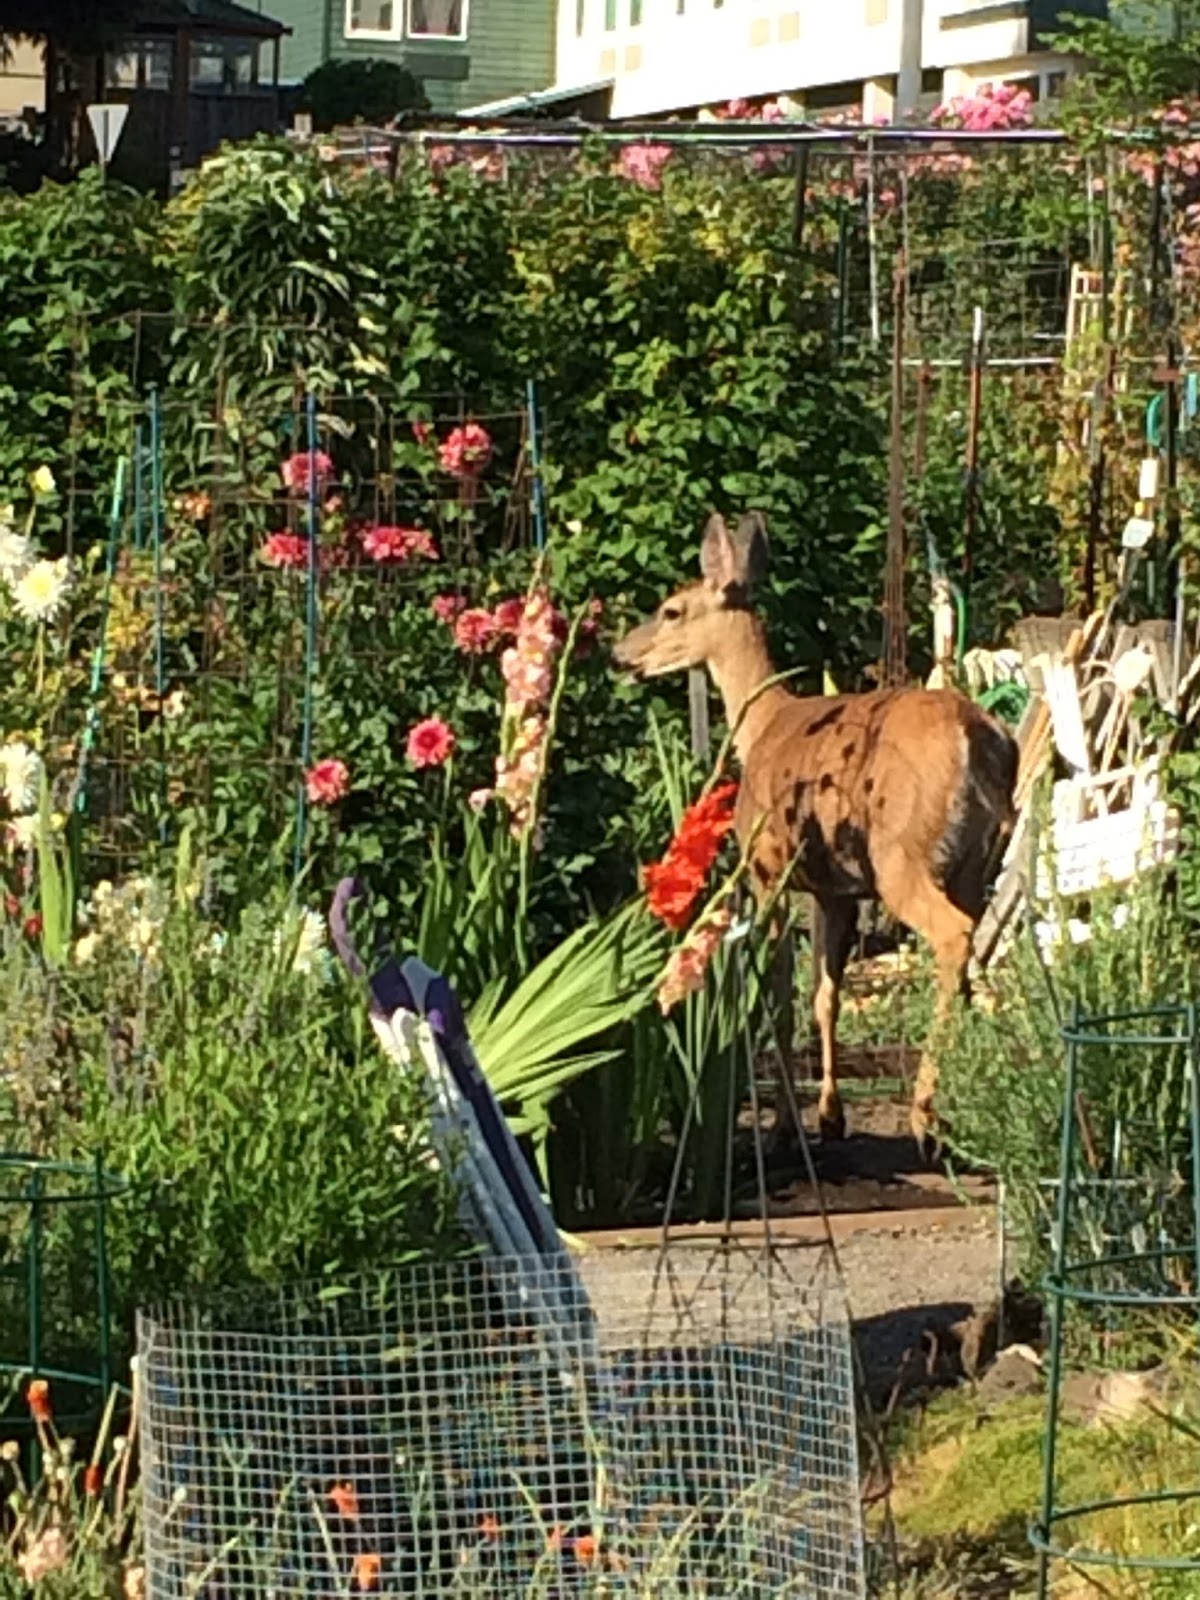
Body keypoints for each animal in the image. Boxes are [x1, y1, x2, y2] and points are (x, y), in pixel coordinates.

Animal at [613, 511, 1019, 1150]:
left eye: (672, 609)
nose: (618, 653)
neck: (761, 724)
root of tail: (974, 737)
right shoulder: (836, 891)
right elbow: (826, 996)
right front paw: (830, 1115)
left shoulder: (770, 870)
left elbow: (780, 998)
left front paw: (786, 1126)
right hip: (978, 858)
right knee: (978, 947)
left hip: (902, 855)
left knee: (953, 936)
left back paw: (925, 1114)